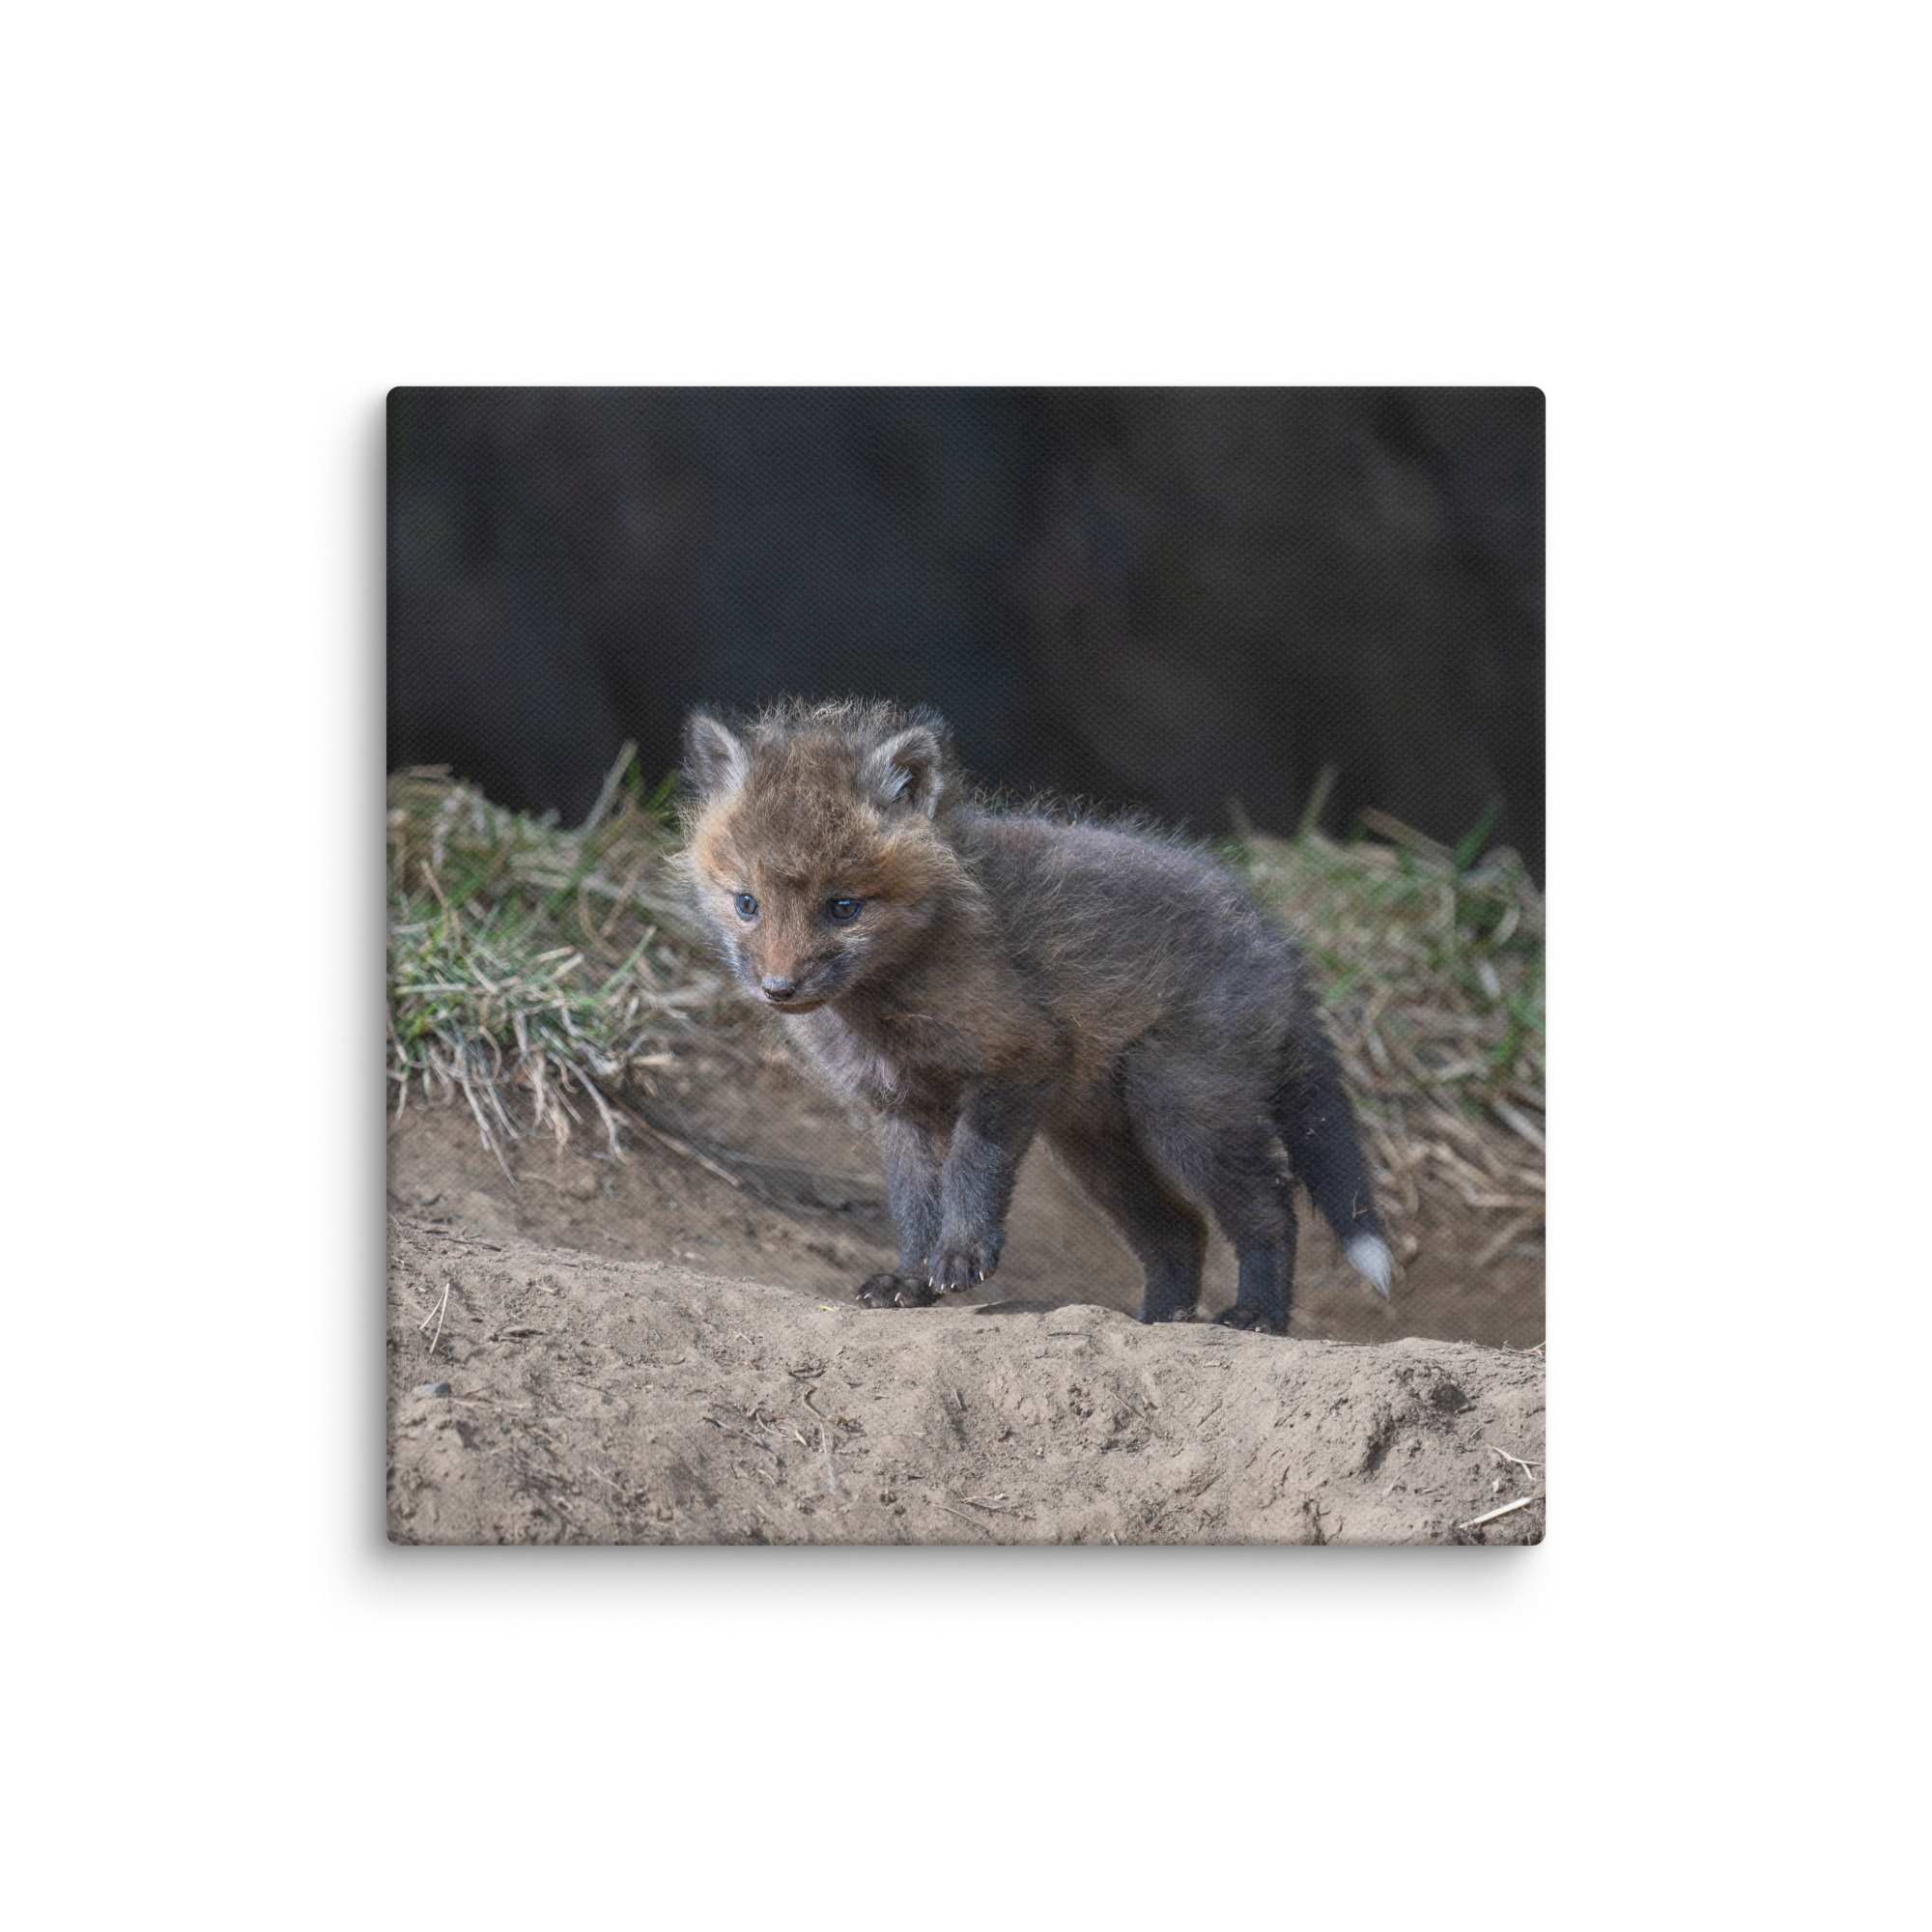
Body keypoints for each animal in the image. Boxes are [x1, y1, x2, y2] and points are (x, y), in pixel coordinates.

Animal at [678, 698, 1393, 1335]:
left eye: (843, 907)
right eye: (746, 903)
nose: (778, 988)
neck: (886, 1010)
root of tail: (1273, 937)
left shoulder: (1016, 1058)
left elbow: (971, 1169)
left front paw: (961, 1255)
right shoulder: (897, 1104)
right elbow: (913, 1203)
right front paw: (910, 1278)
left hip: (1182, 1113)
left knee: (1270, 1207)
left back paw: (1257, 1316)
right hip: (1097, 1147)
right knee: (1180, 1229)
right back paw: (1159, 1321)